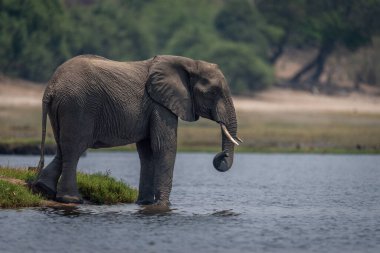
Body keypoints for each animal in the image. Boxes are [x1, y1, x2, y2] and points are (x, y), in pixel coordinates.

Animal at [32, 54, 240, 206]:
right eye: (212, 93)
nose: (221, 155)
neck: (188, 62)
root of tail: (51, 86)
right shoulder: (160, 104)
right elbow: (164, 147)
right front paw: (163, 206)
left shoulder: (153, 106)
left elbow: (148, 151)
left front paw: (144, 203)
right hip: (77, 106)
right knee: (74, 149)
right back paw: (71, 199)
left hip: (64, 108)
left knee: (63, 148)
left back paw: (44, 189)